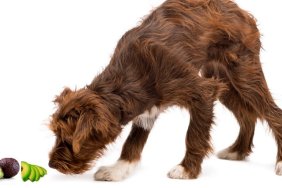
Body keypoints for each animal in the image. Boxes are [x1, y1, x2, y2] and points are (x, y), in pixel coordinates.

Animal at [48, 0, 282, 180]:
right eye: (56, 133)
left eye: (68, 139)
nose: (51, 164)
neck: (125, 79)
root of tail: (240, 10)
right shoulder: (147, 107)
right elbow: (132, 142)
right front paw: (119, 169)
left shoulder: (203, 92)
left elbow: (194, 136)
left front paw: (187, 169)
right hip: (224, 83)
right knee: (247, 114)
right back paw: (237, 151)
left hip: (244, 75)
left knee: (273, 113)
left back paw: (279, 162)